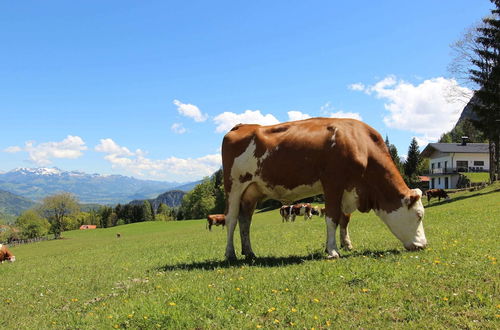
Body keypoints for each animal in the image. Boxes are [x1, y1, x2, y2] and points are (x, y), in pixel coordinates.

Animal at [222, 117, 426, 260]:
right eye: (419, 216)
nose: (424, 245)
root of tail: (242, 126)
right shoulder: (333, 183)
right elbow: (332, 218)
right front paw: (333, 251)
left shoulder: (348, 190)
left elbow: (344, 219)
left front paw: (346, 244)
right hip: (233, 186)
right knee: (231, 219)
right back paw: (230, 253)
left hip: (251, 192)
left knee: (245, 221)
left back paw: (249, 252)